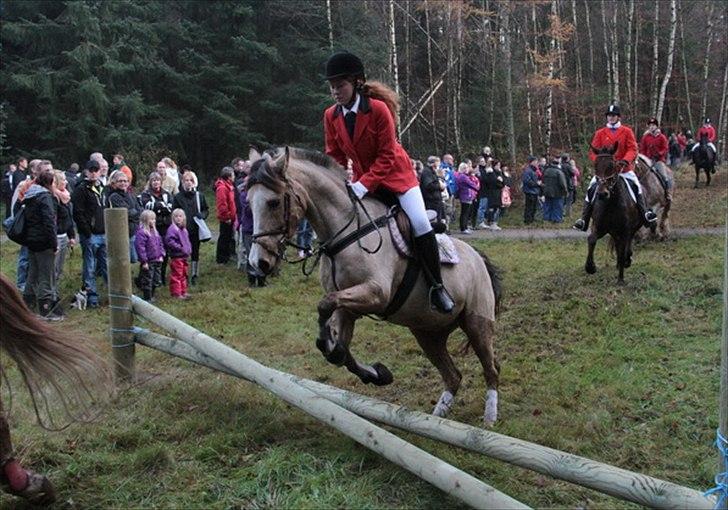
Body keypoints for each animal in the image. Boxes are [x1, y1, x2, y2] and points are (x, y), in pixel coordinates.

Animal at [247, 147, 504, 426]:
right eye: (248, 202)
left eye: (273, 202)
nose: (258, 263)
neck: (346, 231)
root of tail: (478, 257)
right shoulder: (348, 305)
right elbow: (337, 349)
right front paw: (377, 373)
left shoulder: (376, 294)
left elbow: (325, 307)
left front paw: (344, 350)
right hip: (427, 333)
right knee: (453, 375)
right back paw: (437, 418)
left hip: (477, 323)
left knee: (491, 369)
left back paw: (489, 418)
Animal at [584, 144, 644, 282]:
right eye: (595, 165)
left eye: (612, 165)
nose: (602, 194)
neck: (611, 203)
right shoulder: (600, 227)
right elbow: (591, 239)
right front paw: (590, 267)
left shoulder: (625, 229)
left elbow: (623, 251)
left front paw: (620, 279)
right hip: (614, 232)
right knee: (618, 244)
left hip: (631, 228)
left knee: (627, 243)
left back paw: (626, 260)